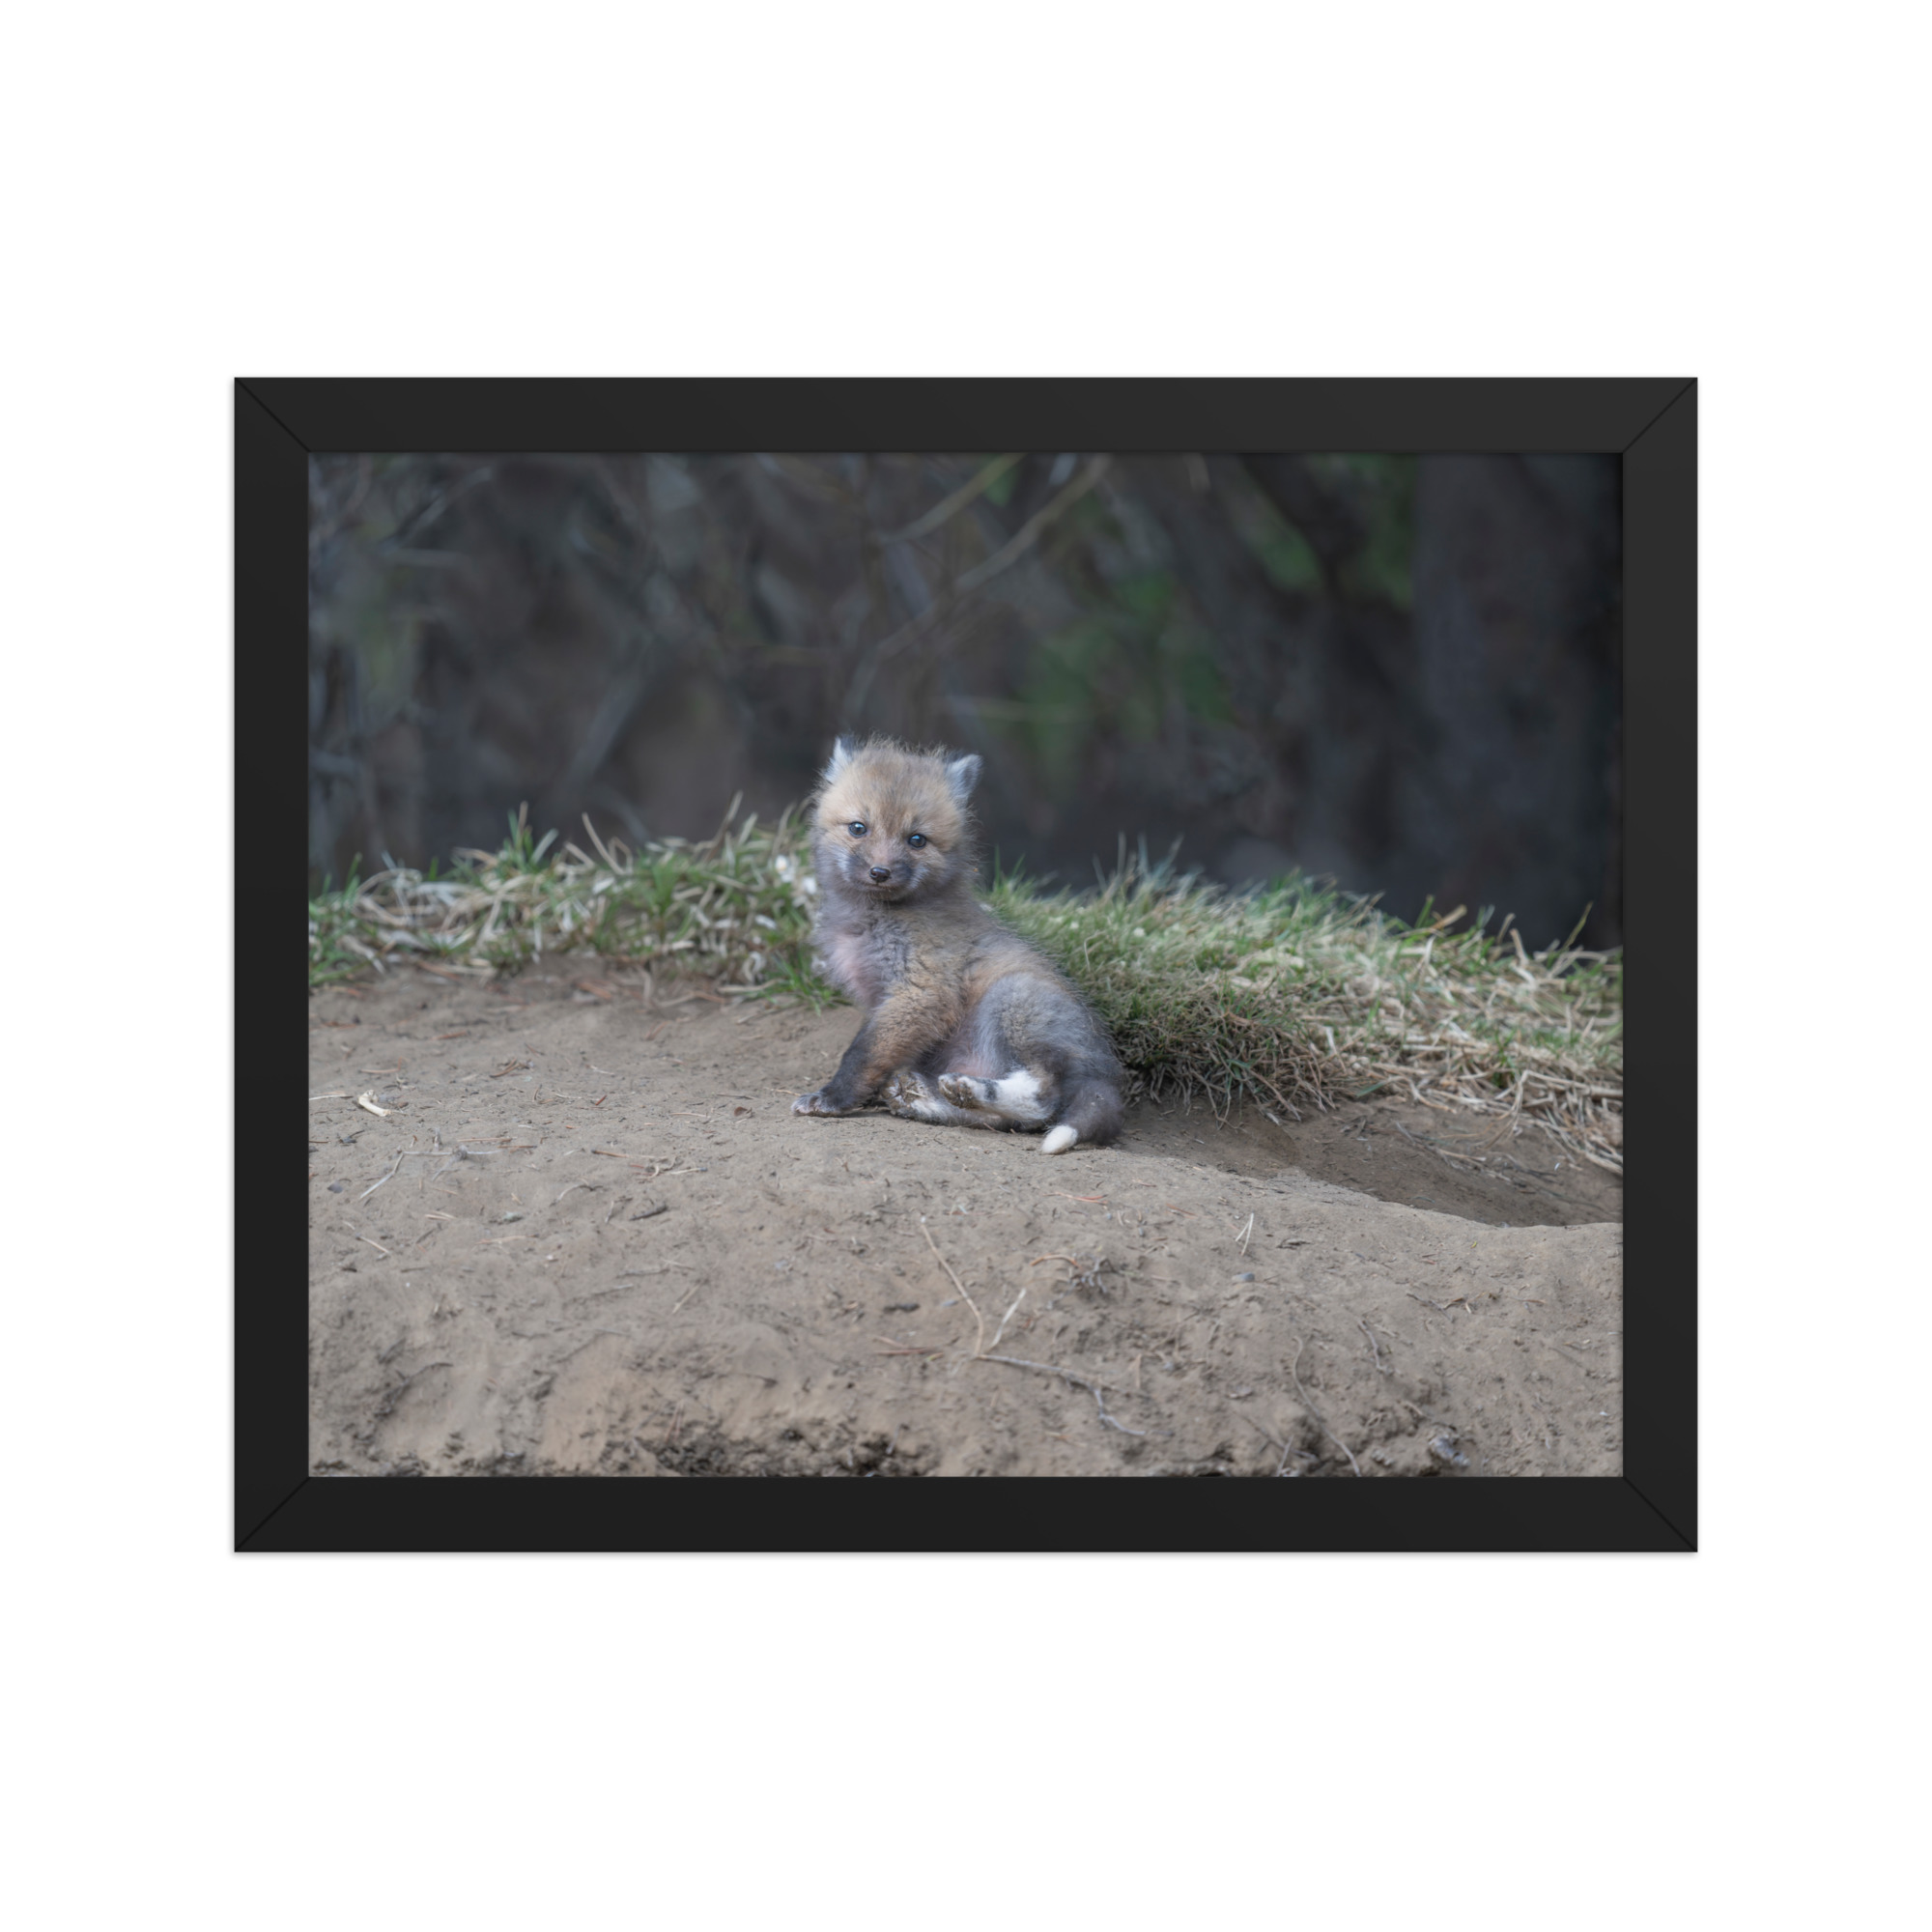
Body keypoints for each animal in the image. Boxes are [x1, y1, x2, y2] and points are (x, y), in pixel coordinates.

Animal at [791, 737, 1125, 1154]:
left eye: (917, 840)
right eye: (858, 828)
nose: (880, 872)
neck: (874, 920)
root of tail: (1105, 1071)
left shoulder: (921, 991)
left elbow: (862, 1053)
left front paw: (833, 1098)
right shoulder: (885, 1000)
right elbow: (876, 1053)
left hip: (1012, 999)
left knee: (1042, 1100)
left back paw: (968, 1089)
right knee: (1004, 1121)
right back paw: (927, 1098)